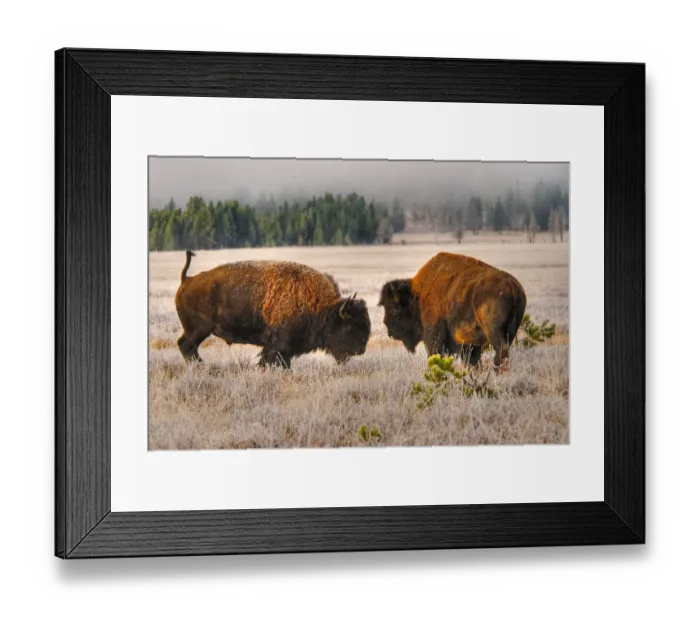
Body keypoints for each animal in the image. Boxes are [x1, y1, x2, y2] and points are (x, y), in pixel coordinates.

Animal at [175, 251, 370, 368]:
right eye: (352, 326)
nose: (361, 350)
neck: (320, 306)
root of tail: (187, 279)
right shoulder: (278, 345)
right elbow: (272, 359)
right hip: (199, 330)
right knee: (186, 345)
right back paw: (200, 366)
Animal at [378, 252, 527, 369]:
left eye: (393, 308)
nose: (389, 330)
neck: (417, 296)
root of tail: (513, 286)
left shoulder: (434, 337)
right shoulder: (469, 345)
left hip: (493, 330)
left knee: (501, 350)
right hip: (511, 331)